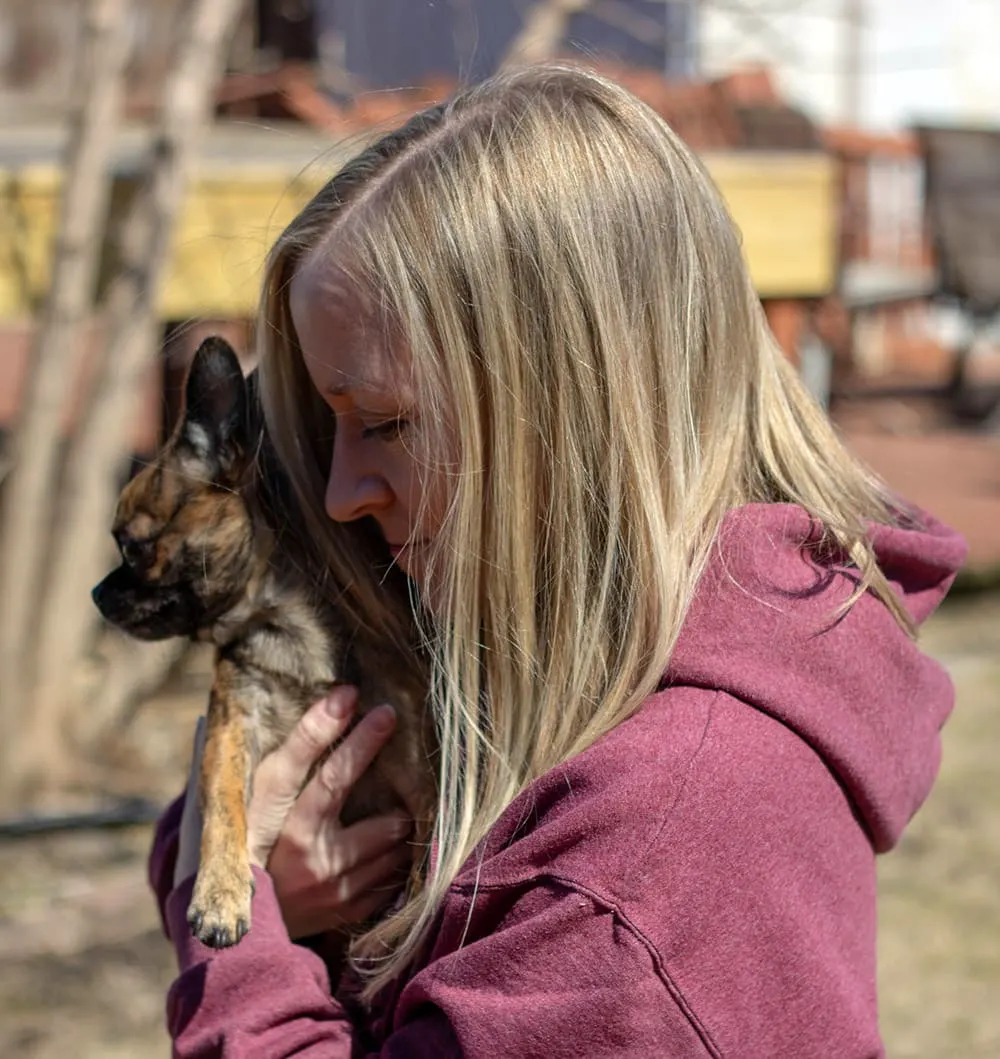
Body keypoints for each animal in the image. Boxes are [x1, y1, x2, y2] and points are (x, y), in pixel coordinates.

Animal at [92, 334, 434, 948]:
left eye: (131, 547)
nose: (97, 594)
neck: (288, 628)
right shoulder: (231, 726)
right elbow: (225, 808)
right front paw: (220, 893)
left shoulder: (419, 771)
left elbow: (427, 849)